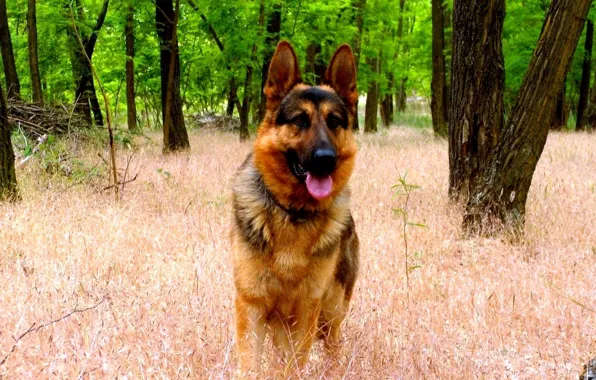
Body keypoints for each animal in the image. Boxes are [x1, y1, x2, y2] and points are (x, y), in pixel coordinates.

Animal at [229, 41, 358, 374]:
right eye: (300, 120)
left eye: (334, 121)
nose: (326, 160)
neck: (293, 213)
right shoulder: (252, 307)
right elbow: (251, 365)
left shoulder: (305, 311)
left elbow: (294, 367)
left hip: (331, 312)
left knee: (333, 345)